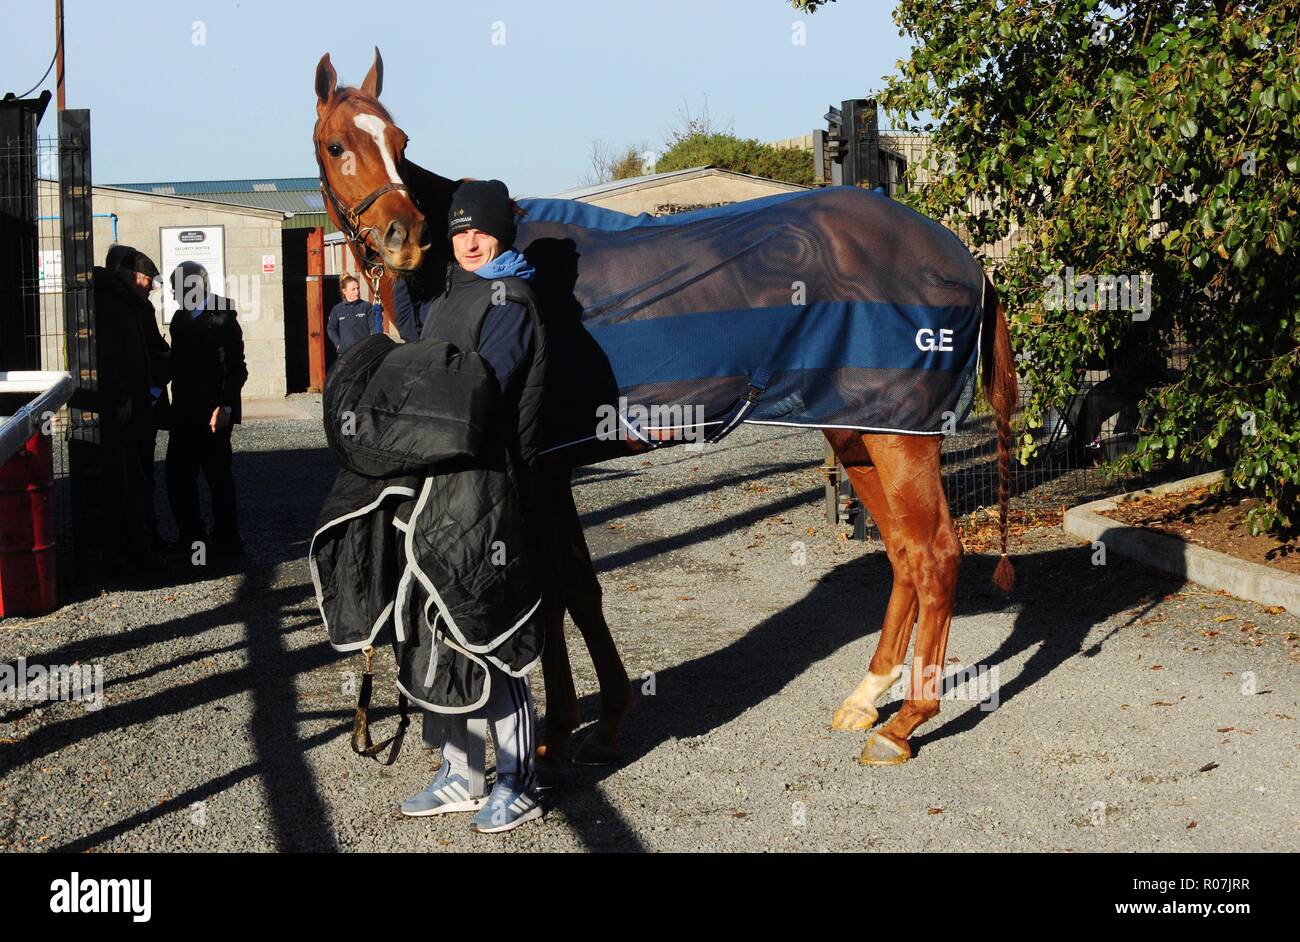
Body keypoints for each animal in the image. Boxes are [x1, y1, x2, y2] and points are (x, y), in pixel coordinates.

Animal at [312, 49, 1013, 763]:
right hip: (860, 431)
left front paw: (559, 734)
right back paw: (867, 698)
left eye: (400, 143)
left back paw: (906, 722)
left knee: (935, 556)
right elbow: (578, 588)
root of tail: (964, 259)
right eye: (338, 144)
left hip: (903, 438)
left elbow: (559, 590)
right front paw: (603, 719)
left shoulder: (539, 467)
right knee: (902, 554)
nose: (405, 236)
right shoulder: (551, 470)